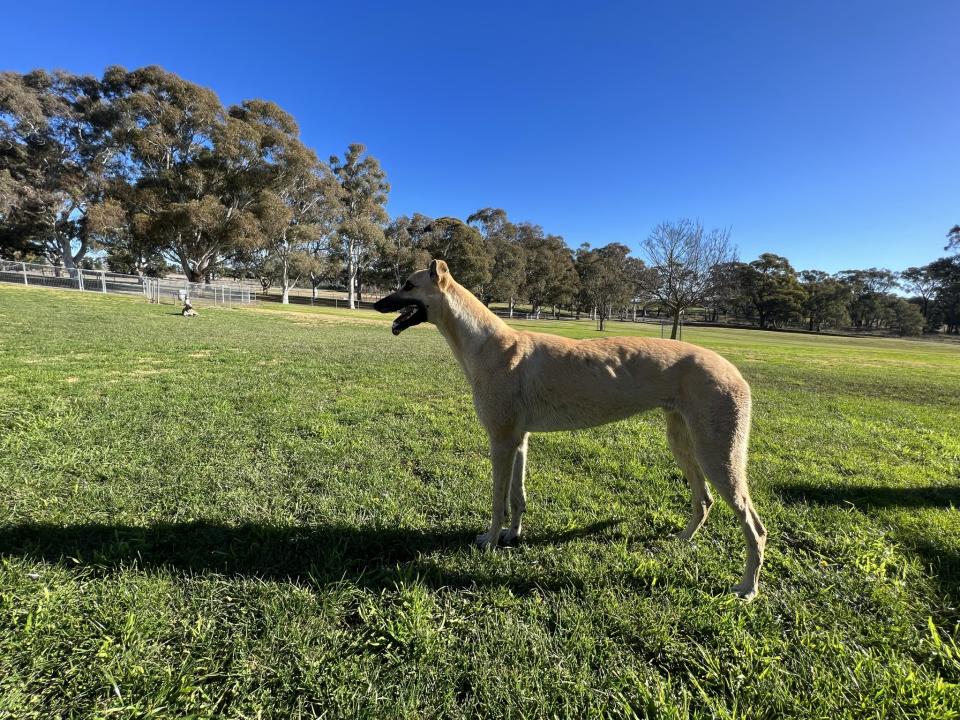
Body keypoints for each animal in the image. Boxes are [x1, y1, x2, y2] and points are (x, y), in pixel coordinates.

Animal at [374, 262, 764, 600]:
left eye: (408, 285)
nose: (378, 304)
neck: (486, 343)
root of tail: (735, 372)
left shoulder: (500, 441)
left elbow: (498, 500)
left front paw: (490, 539)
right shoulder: (519, 441)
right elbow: (517, 497)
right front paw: (513, 535)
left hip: (718, 456)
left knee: (755, 528)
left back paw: (747, 588)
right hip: (684, 443)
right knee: (704, 499)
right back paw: (683, 540)